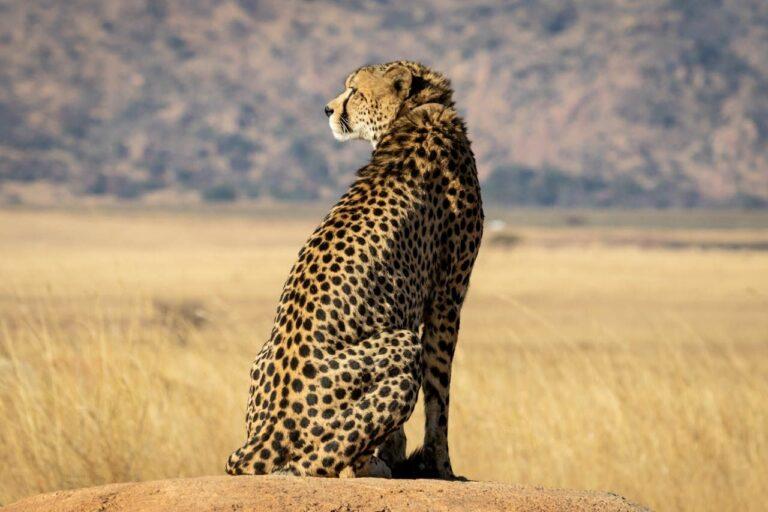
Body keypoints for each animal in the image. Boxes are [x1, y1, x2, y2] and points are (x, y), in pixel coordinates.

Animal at [225, 60, 483, 479]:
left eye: (356, 91)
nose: (327, 109)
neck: (416, 111)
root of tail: (263, 436)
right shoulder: (448, 296)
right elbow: (439, 394)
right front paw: (442, 468)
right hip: (401, 344)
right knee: (316, 464)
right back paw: (370, 465)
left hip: (259, 358)